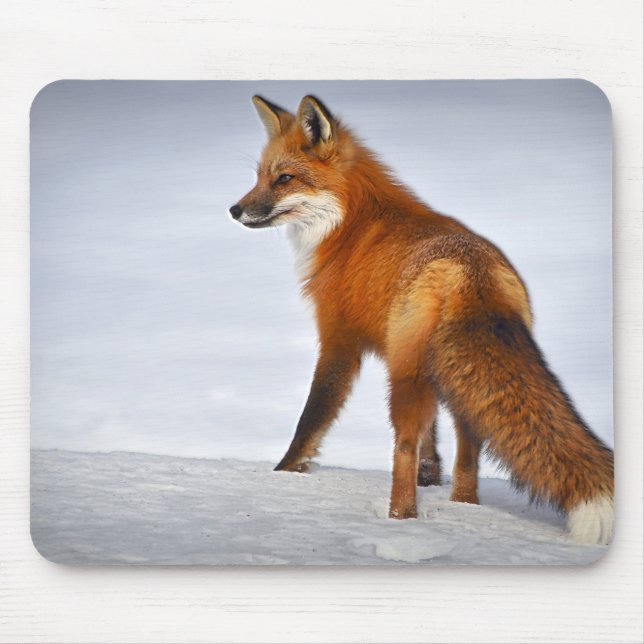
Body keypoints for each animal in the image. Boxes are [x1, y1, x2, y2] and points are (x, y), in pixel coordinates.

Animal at [229, 94, 614, 545]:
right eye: (259, 177)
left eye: (284, 179)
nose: (234, 209)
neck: (349, 225)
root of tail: (471, 272)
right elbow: (433, 443)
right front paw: (431, 477)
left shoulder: (339, 339)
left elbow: (312, 418)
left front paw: (284, 474)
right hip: (452, 379)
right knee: (468, 454)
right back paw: (462, 506)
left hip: (405, 376)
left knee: (403, 448)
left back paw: (400, 521)